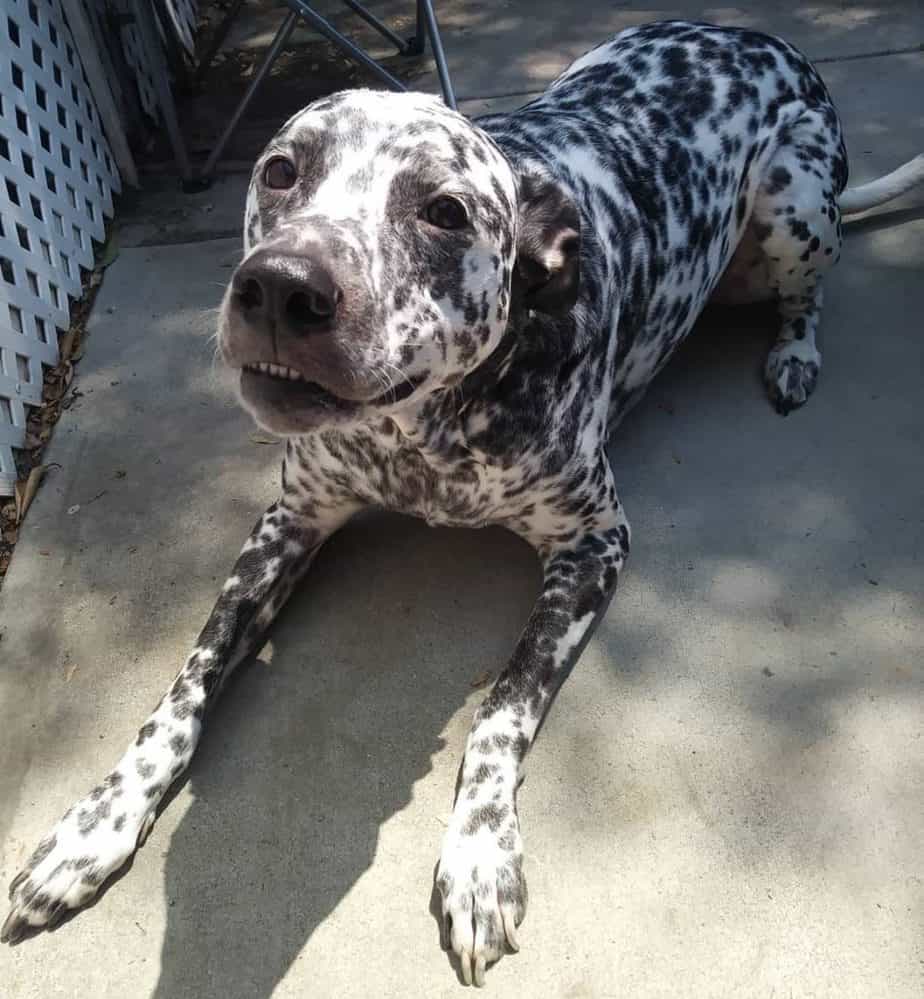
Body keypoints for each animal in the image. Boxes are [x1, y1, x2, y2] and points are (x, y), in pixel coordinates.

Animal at [3, 19, 920, 988]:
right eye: (282, 169)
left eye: (445, 210)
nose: (282, 285)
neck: (421, 437)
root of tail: (749, 32)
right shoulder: (288, 521)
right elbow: (185, 686)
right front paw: (95, 823)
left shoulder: (594, 544)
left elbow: (501, 708)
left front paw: (481, 855)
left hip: (793, 208)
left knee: (806, 296)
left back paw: (795, 354)